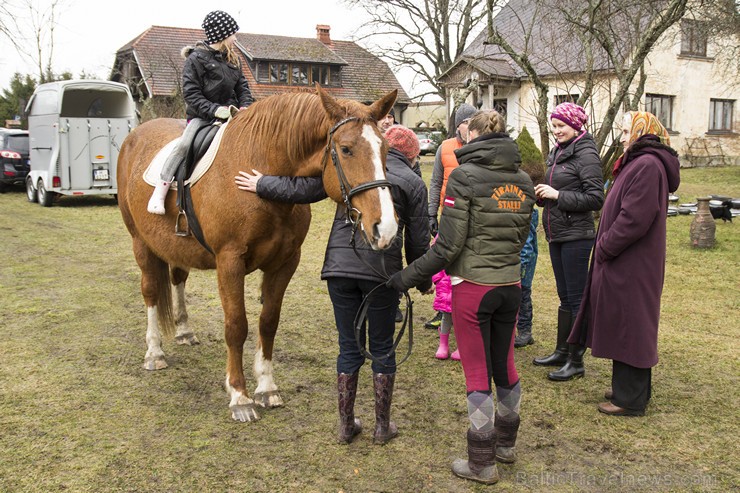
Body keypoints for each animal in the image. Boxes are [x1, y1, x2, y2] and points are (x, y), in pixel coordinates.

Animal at [117, 86, 398, 420]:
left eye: (385, 149)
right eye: (345, 149)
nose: (386, 227)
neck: (261, 173)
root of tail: (135, 136)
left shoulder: (285, 263)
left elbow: (268, 322)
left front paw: (266, 387)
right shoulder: (230, 262)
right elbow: (237, 325)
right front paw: (240, 396)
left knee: (178, 278)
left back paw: (184, 331)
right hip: (140, 242)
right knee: (150, 292)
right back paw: (154, 352)